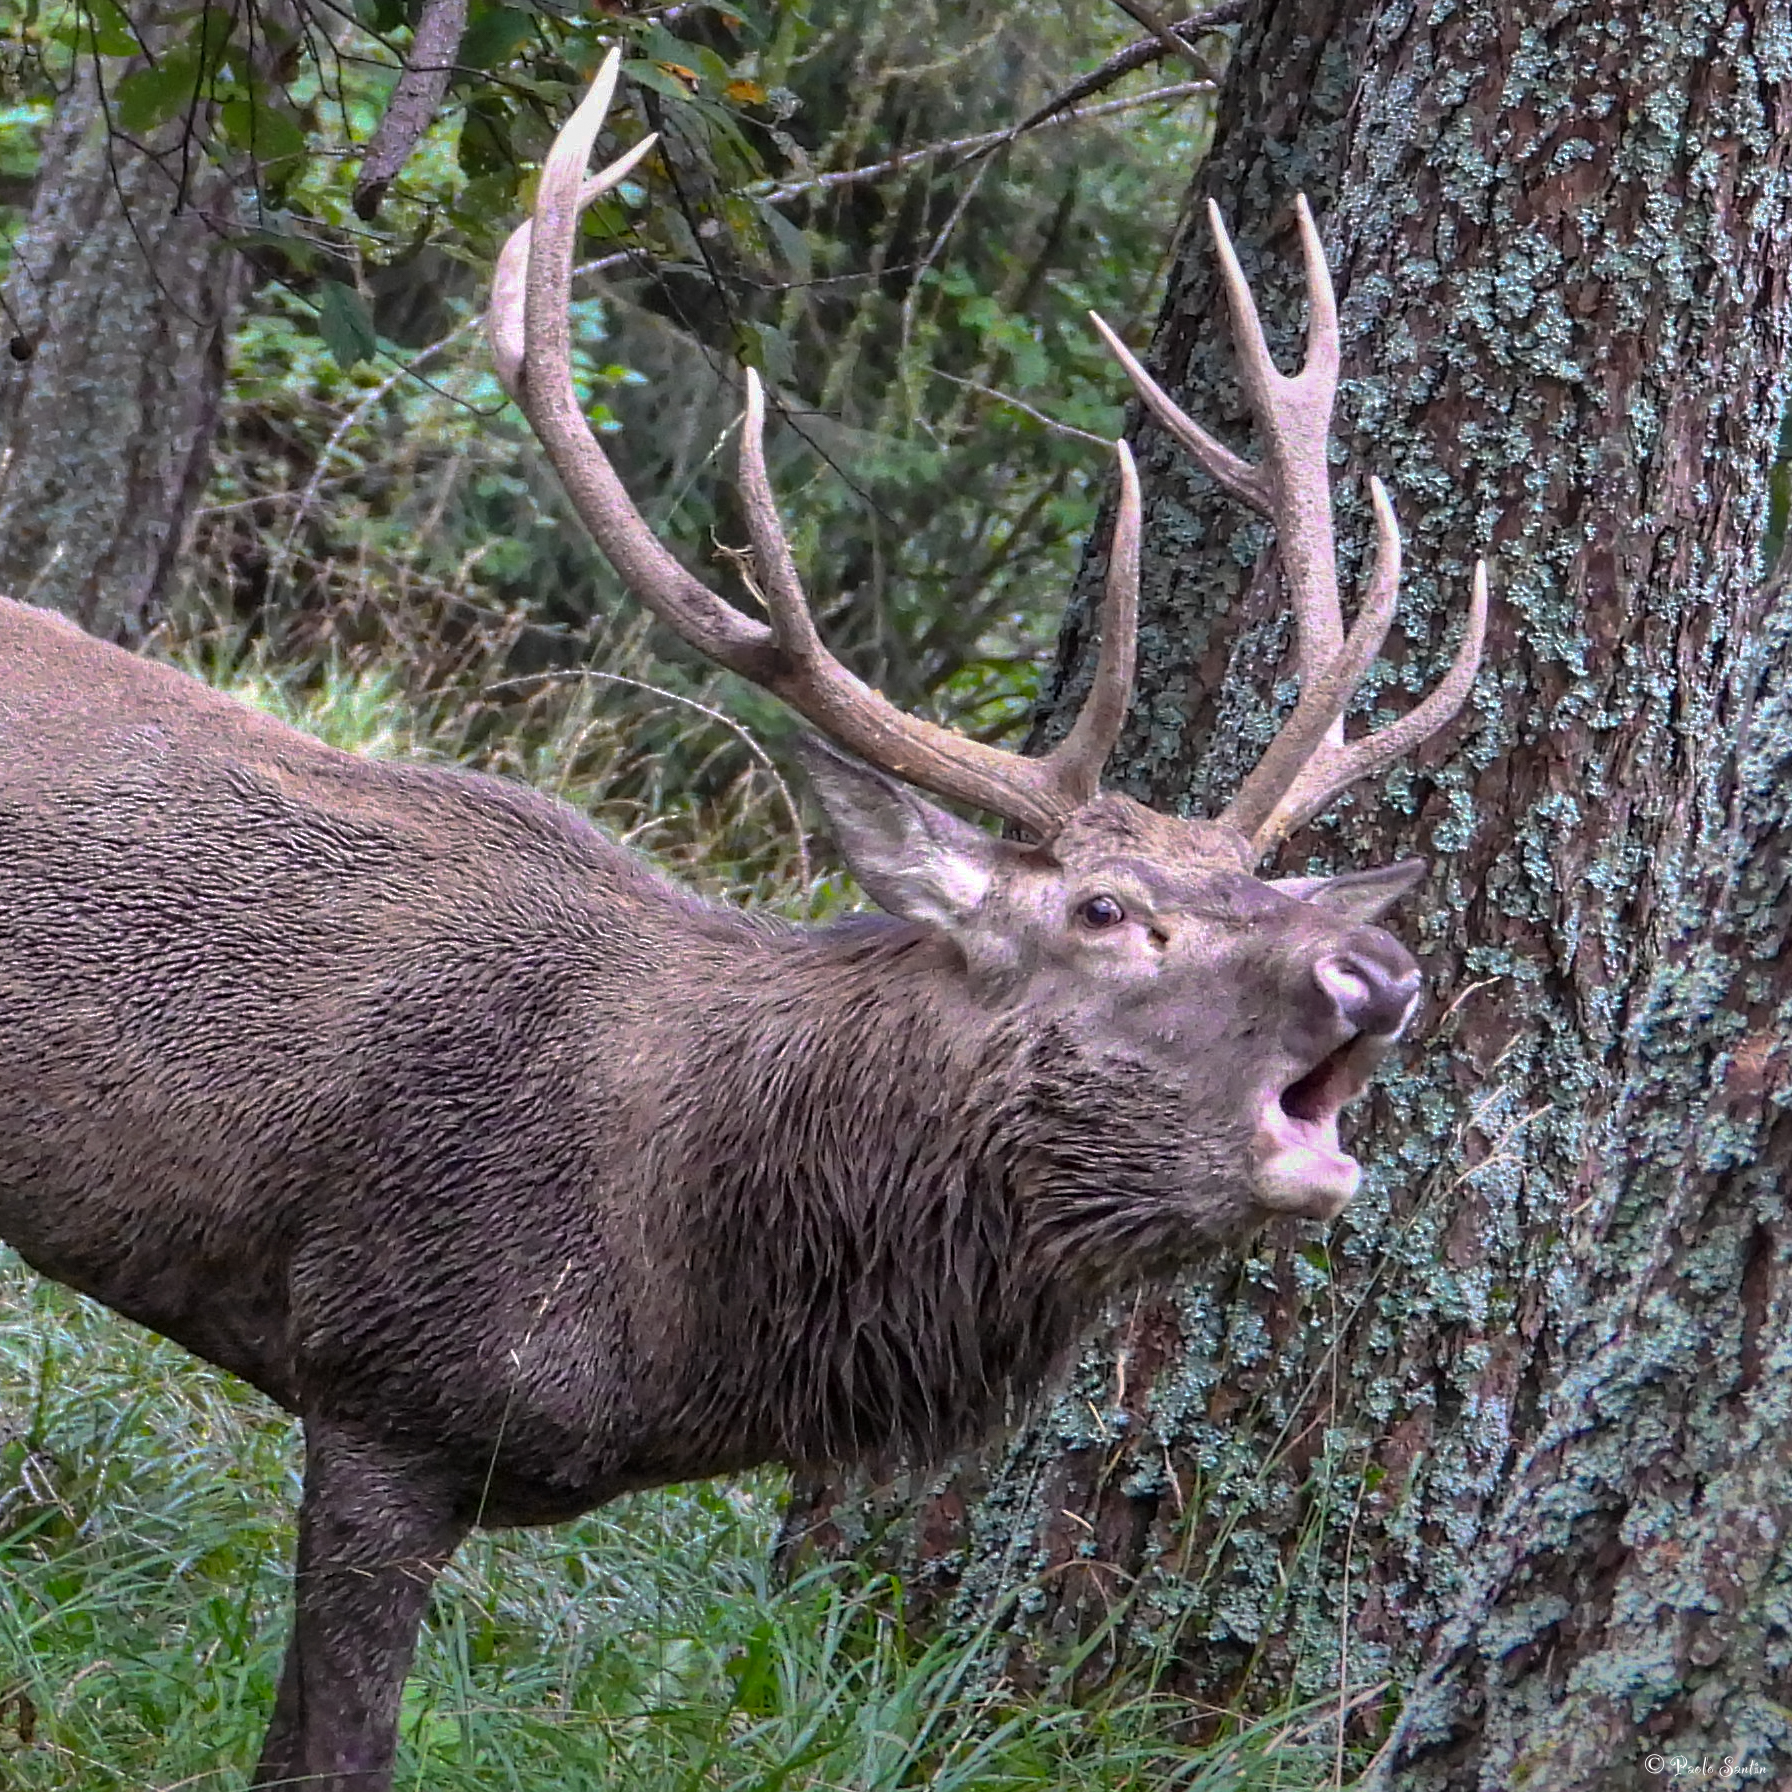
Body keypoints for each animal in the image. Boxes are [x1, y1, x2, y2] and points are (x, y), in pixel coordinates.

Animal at [0, 51, 1485, 1792]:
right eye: (1107, 909)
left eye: (1264, 889)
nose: (1376, 970)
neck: (685, 1298)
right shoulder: (385, 1380)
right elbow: (329, 1751)